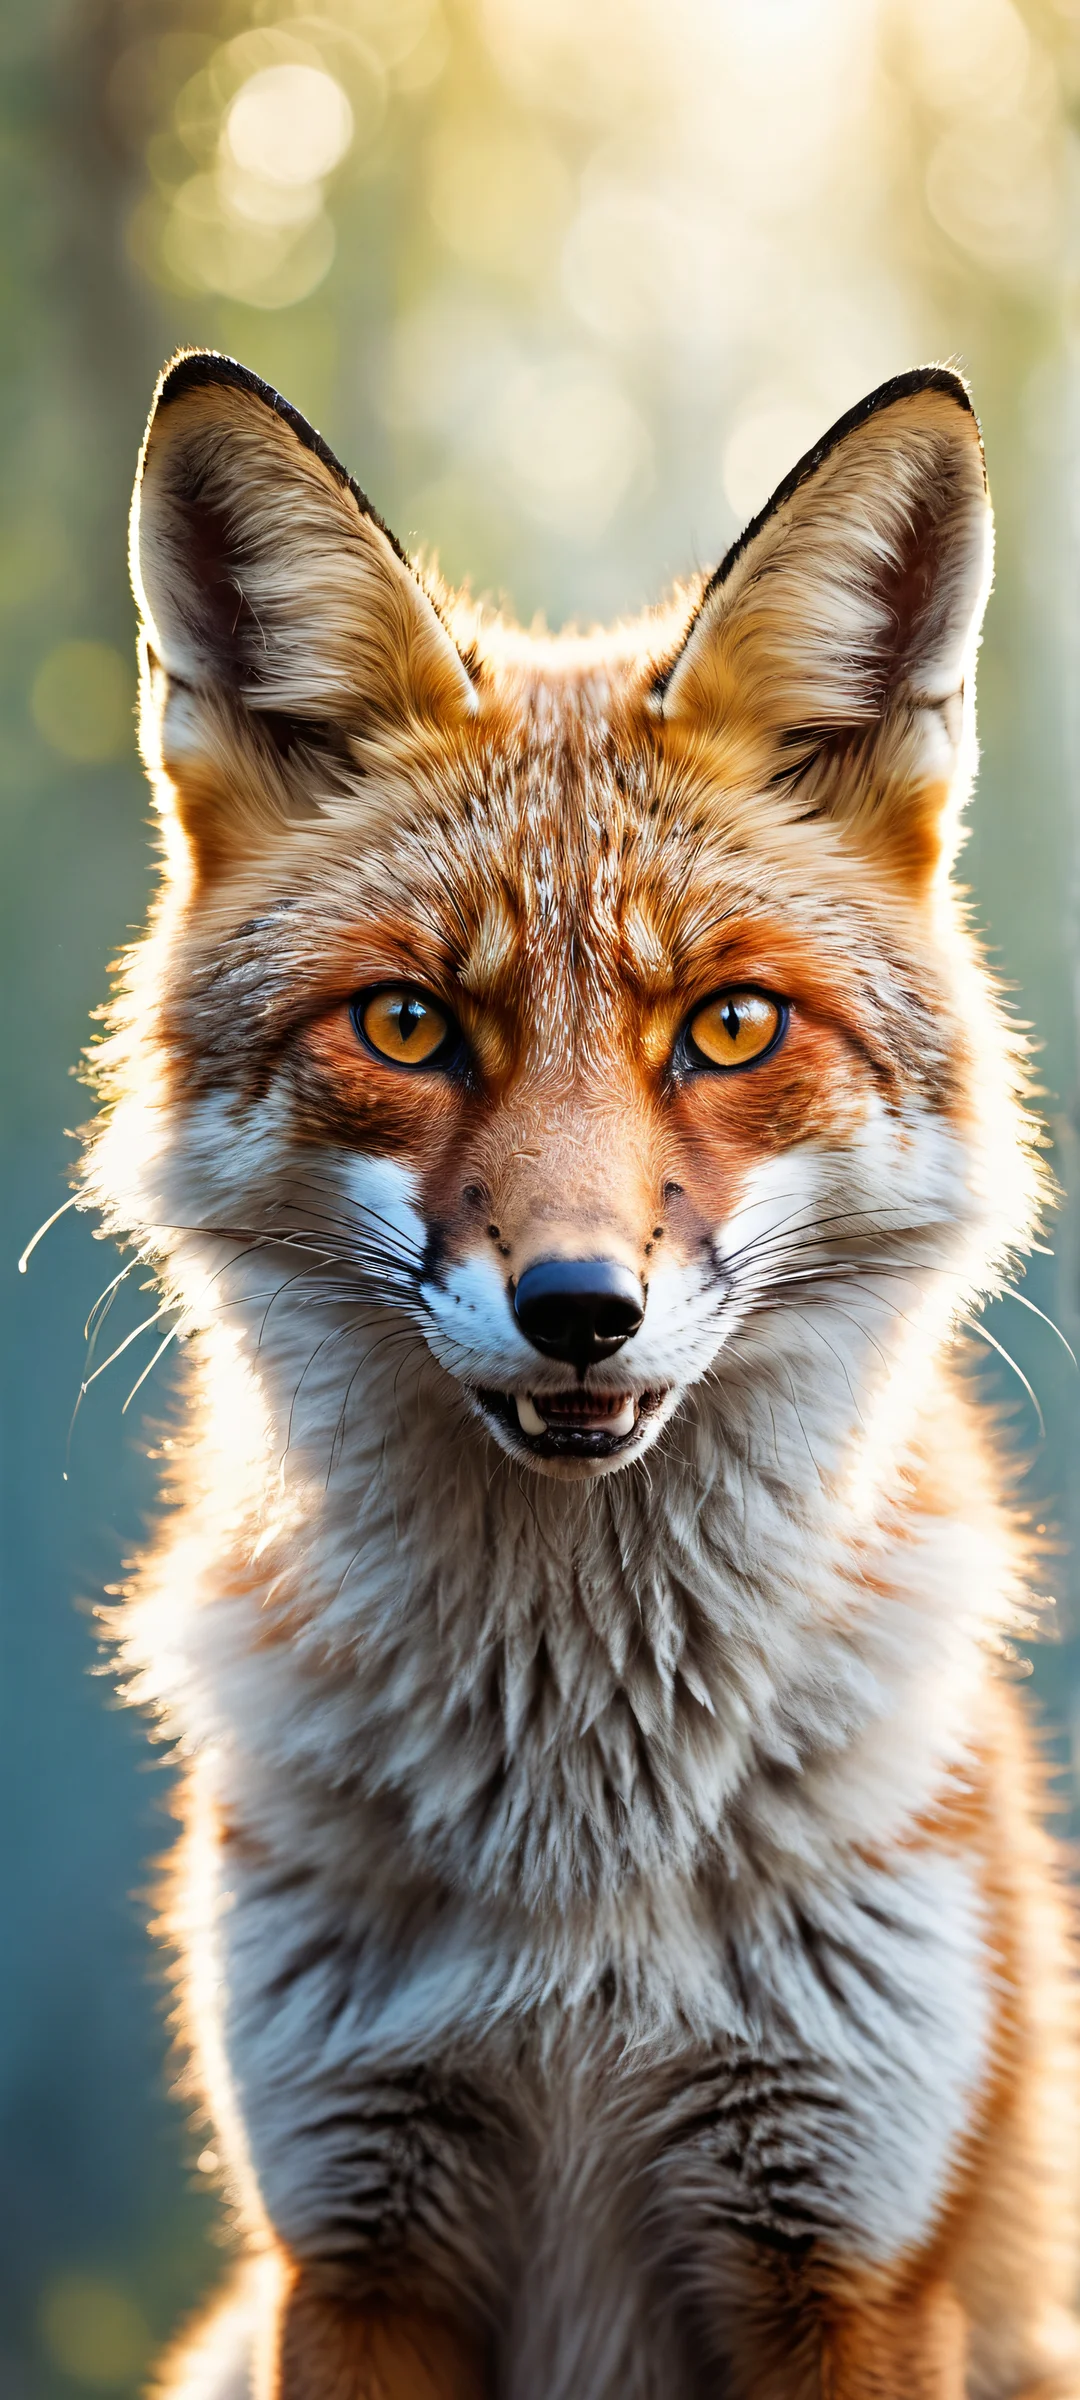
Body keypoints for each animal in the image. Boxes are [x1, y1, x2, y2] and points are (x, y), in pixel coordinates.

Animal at [79, 348, 1079, 2399]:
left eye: (730, 1027)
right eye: (406, 1025)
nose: (577, 1308)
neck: (578, 1865)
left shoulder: (852, 2257)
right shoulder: (350, 2247)